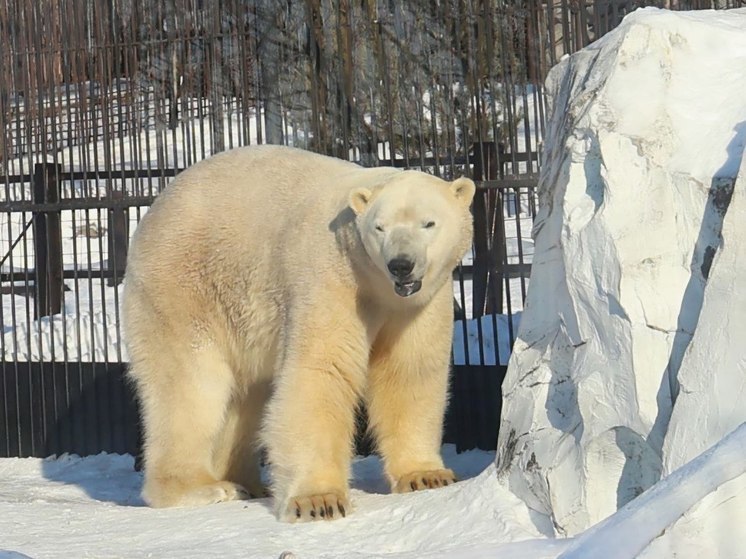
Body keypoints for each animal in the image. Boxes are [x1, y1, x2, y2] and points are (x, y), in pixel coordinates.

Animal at [120, 143, 474, 520]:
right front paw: (319, 501)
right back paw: (202, 487)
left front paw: (427, 476)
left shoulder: (420, 303)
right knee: (192, 385)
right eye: (380, 227)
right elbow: (320, 371)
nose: (401, 265)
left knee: (246, 395)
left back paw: (246, 483)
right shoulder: (332, 276)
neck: (378, 286)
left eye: (429, 223)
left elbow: (409, 371)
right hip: (182, 289)